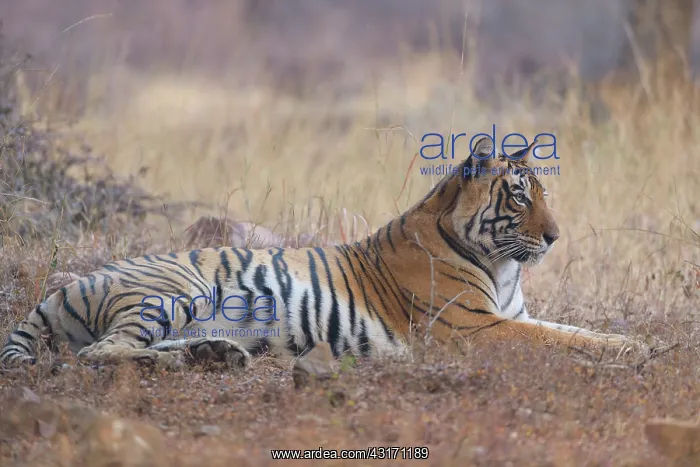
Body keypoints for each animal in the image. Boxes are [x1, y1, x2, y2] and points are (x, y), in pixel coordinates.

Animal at [0, 136, 633, 370]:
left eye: (544, 193)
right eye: (520, 195)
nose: (554, 237)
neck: (502, 267)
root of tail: (65, 286)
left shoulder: (509, 316)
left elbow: (575, 330)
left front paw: (634, 343)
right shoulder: (476, 329)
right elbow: (557, 339)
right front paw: (636, 348)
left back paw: (216, 354)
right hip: (173, 291)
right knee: (101, 352)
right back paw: (185, 361)